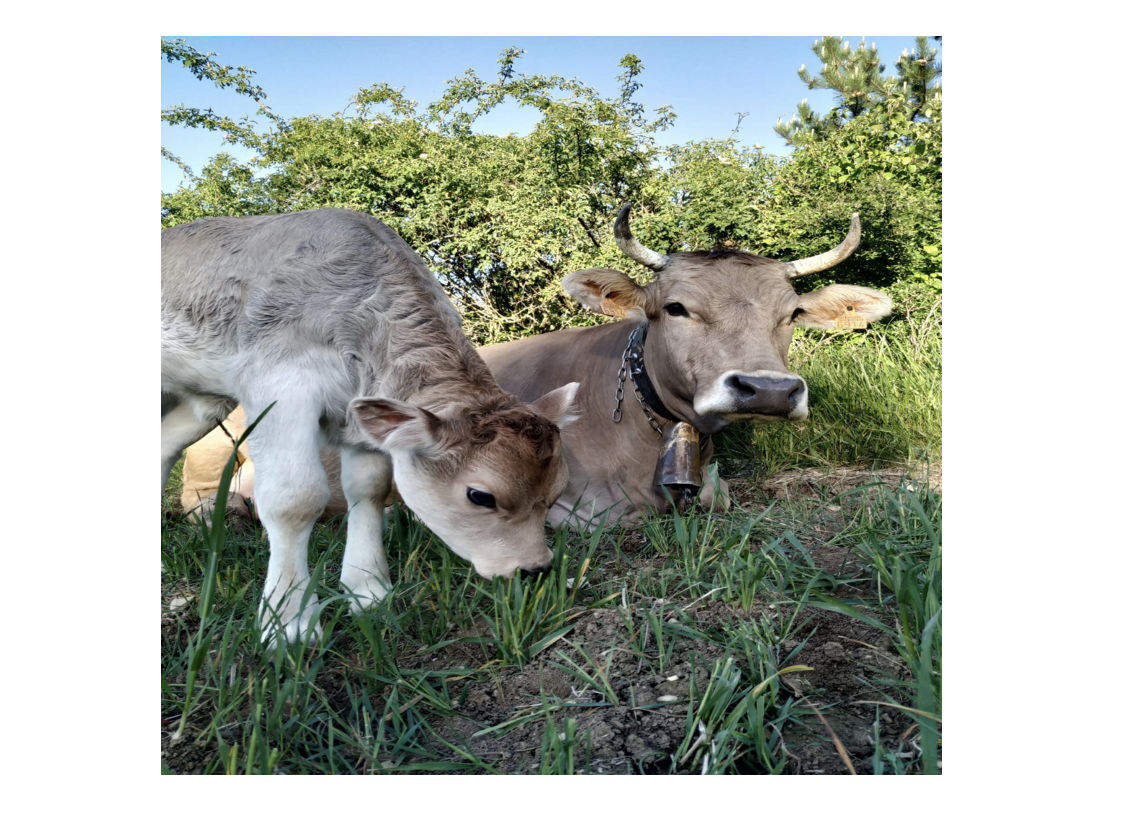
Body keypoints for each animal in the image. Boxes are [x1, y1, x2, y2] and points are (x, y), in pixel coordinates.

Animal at [162, 208, 579, 645]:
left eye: (557, 492)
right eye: (480, 496)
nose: (534, 568)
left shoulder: (360, 418)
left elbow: (369, 490)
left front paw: (368, 591)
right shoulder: (279, 384)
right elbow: (295, 499)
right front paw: (289, 622)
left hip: (203, 403)